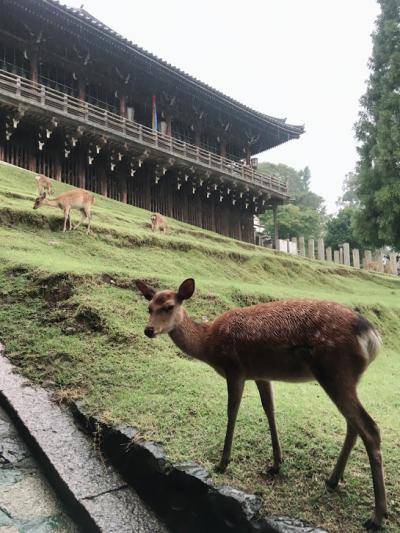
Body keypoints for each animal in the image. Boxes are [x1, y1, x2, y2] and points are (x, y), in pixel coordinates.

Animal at [135, 278, 388, 528]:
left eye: (169, 306)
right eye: (149, 307)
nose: (149, 330)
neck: (208, 343)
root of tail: (372, 336)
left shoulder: (235, 369)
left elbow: (232, 411)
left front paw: (222, 463)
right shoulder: (260, 374)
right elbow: (269, 410)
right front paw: (276, 464)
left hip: (334, 370)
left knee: (370, 428)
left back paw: (376, 516)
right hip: (346, 378)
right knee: (353, 425)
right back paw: (333, 480)